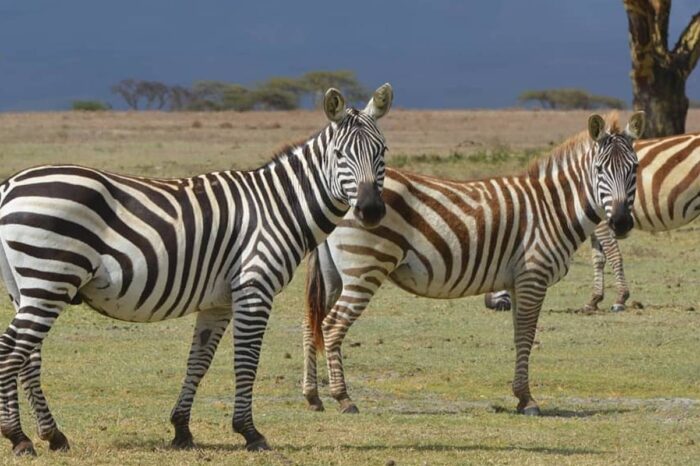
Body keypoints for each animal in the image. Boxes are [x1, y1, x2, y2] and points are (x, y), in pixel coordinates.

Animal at [0, 83, 394, 456]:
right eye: (339, 155)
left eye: (382, 152)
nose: (372, 210)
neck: (279, 207)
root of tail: (10, 186)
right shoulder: (254, 288)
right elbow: (246, 361)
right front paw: (250, 432)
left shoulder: (217, 302)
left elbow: (198, 362)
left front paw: (182, 430)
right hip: (50, 278)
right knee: (11, 350)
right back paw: (19, 438)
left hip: (28, 287)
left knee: (29, 356)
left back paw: (52, 435)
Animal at [300, 112, 644, 416]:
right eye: (600, 169)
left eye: (635, 169)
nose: (622, 223)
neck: (552, 208)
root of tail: (338, 194)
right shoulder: (533, 276)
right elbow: (526, 334)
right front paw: (527, 400)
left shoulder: (518, 282)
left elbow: (520, 334)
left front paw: (521, 396)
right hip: (365, 269)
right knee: (331, 326)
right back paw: (343, 398)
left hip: (335, 275)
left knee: (311, 323)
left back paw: (313, 396)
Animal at [484, 132, 700, 314]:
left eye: (501, 255)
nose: (489, 303)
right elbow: (598, 258)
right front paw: (594, 300)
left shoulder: (604, 222)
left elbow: (613, 255)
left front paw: (620, 299)